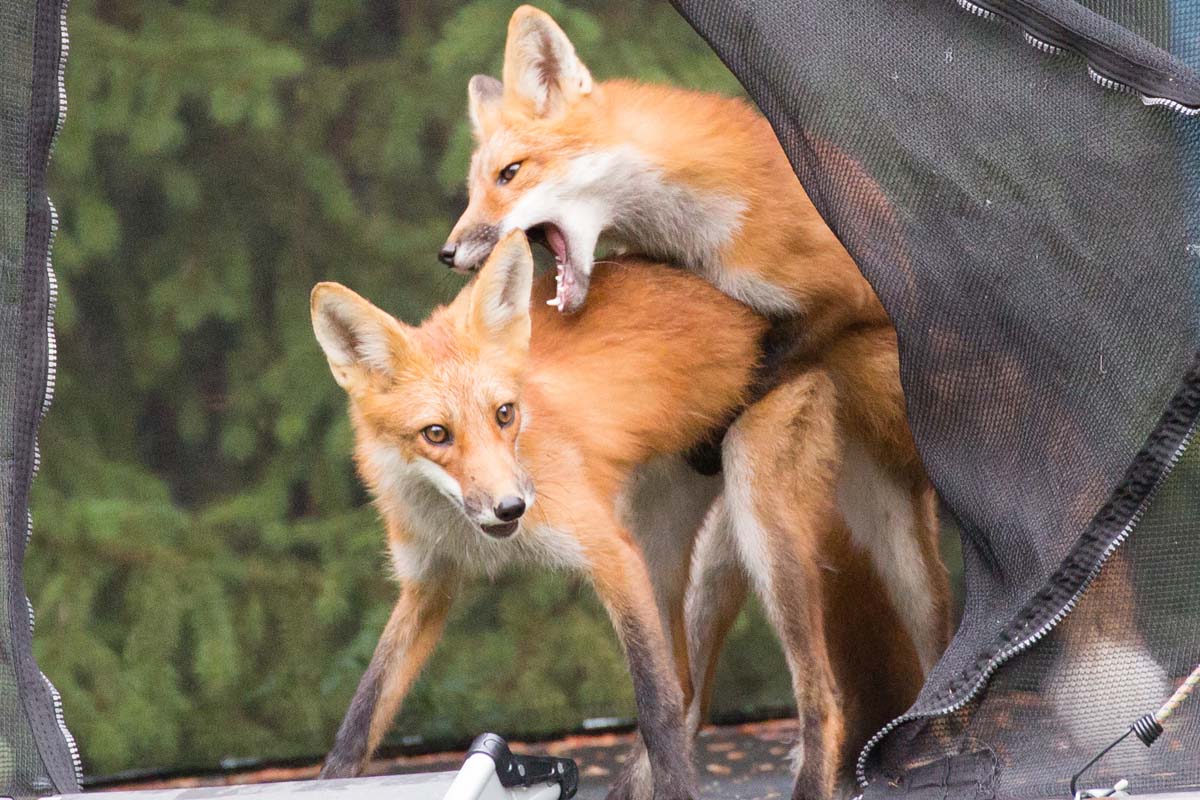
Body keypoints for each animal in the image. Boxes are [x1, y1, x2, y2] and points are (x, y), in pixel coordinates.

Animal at [440, 7, 952, 799]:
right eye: (474, 188)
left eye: (511, 174)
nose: (451, 251)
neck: (696, 223)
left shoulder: (845, 296)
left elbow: (779, 350)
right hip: (725, 548)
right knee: (688, 691)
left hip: (788, 528)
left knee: (842, 687)